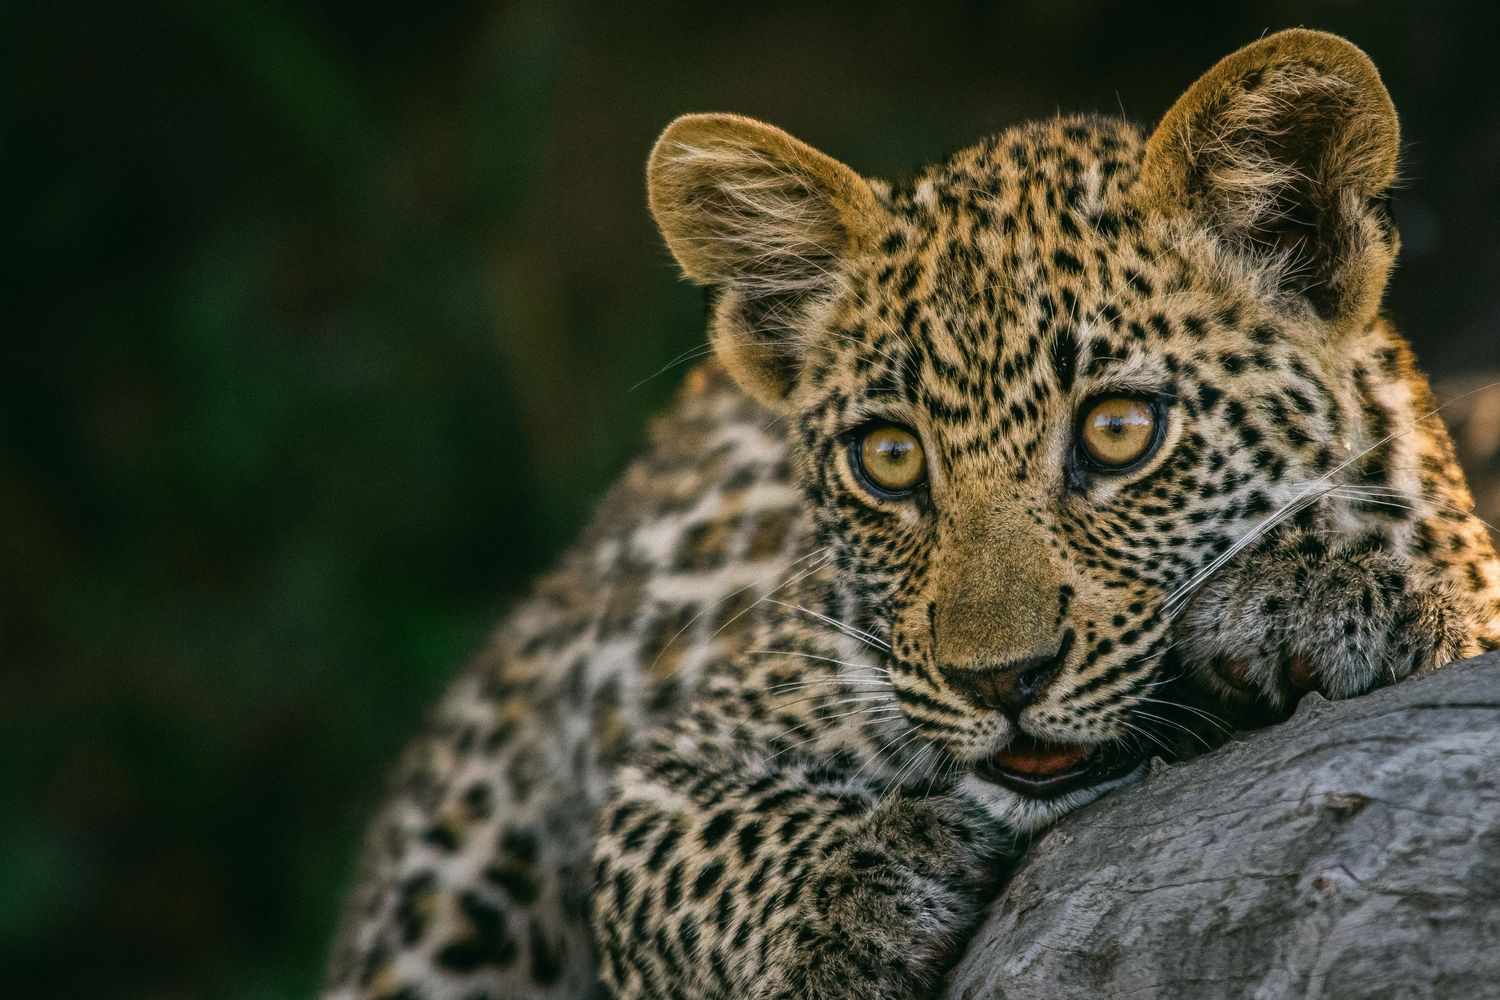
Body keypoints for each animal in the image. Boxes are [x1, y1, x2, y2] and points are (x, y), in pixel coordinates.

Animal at [322, 29, 1500, 1000]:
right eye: (889, 458)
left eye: (1120, 430)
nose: (1000, 681)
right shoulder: (666, 777)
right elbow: (713, 851)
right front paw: (859, 891)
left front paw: (1326, 595)